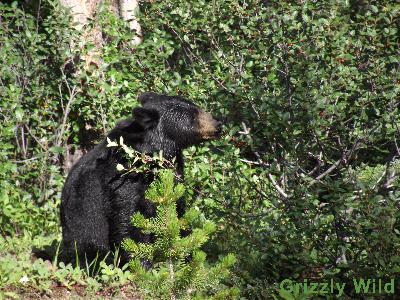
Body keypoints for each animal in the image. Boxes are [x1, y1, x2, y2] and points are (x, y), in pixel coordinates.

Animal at [59, 92, 222, 266]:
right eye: (192, 116)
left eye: (197, 108)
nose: (218, 124)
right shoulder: (122, 179)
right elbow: (128, 217)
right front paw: (142, 261)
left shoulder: (173, 173)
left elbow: (177, 209)